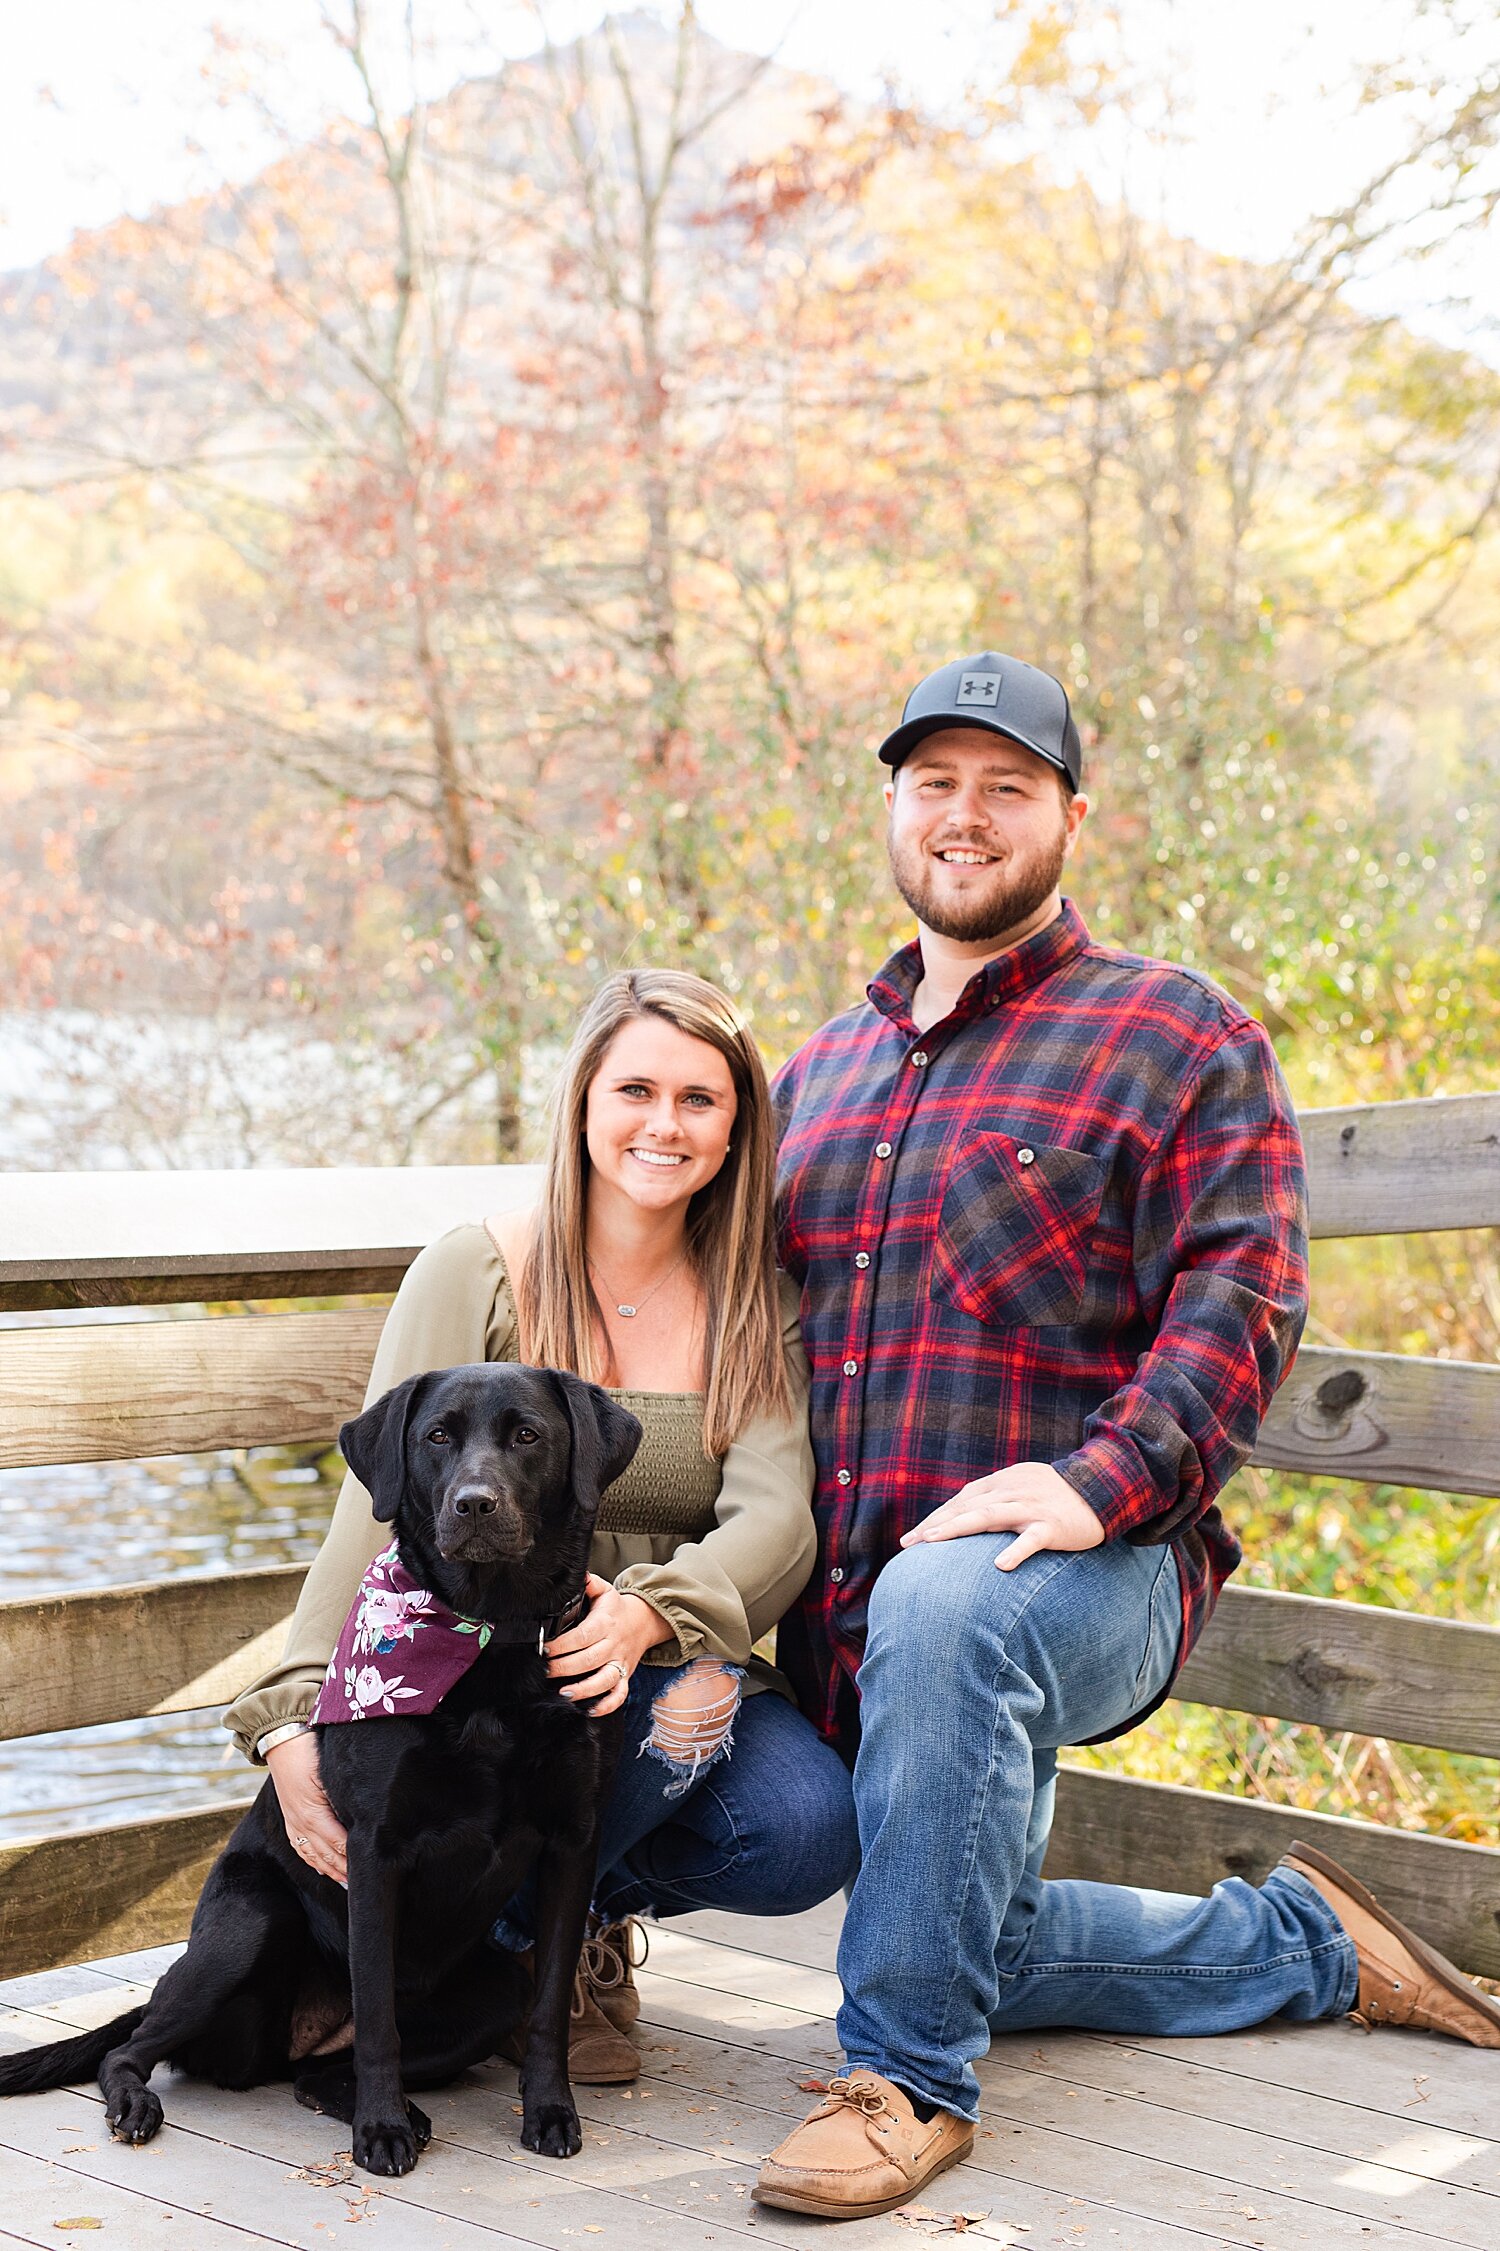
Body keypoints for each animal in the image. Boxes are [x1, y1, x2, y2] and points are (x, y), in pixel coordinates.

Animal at [0, 1359, 635, 2169]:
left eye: (527, 1435)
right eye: (437, 1437)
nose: (474, 1503)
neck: (491, 1638)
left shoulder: (571, 1841)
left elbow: (551, 2001)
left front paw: (551, 2113)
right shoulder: (373, 1848)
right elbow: (378, 2014)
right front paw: (381, 2130)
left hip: (494, 1991)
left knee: (316, 2074)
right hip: (252, 1921)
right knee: (132, 2049)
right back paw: (143, 2105)